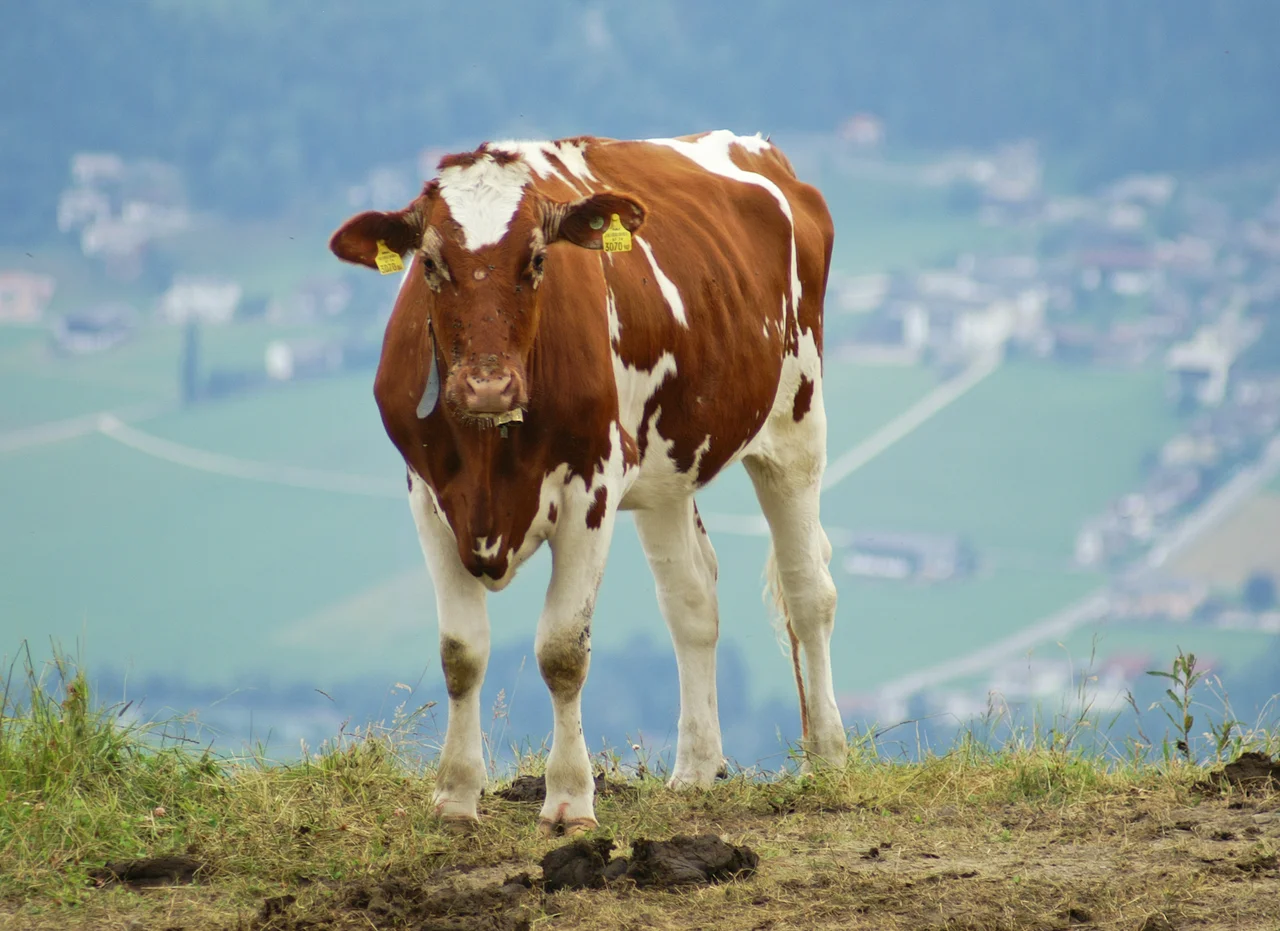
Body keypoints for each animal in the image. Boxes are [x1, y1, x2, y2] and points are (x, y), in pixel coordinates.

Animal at [328, 130, 847, 834]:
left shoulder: (591, 486)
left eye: (537, 259)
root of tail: (757, 149)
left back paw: (828, 757)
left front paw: (570, 800)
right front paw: (456, 797)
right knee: (692, 601)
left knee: (806, 591)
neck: (492, 453)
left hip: (797, 422)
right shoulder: (429, 495)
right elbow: (461, 653)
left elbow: (562, 652)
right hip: (666, 467)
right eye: (430, 264)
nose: (487, 385)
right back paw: (695, 769)